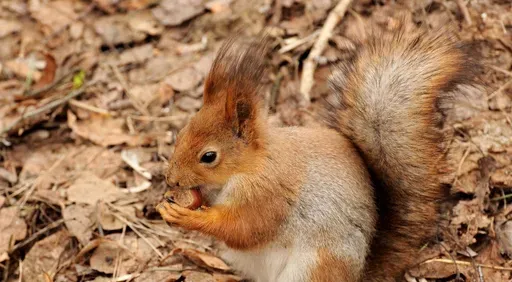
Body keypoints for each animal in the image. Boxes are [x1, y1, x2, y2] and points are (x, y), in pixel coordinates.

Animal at [157, 22, 480, 282]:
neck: (249, 166)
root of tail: (357, 276)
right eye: (181, 134)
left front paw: (186, 217)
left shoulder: (267, 194)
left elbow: (244, 229)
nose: (171, 179)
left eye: (209, 157)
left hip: (314, 267)